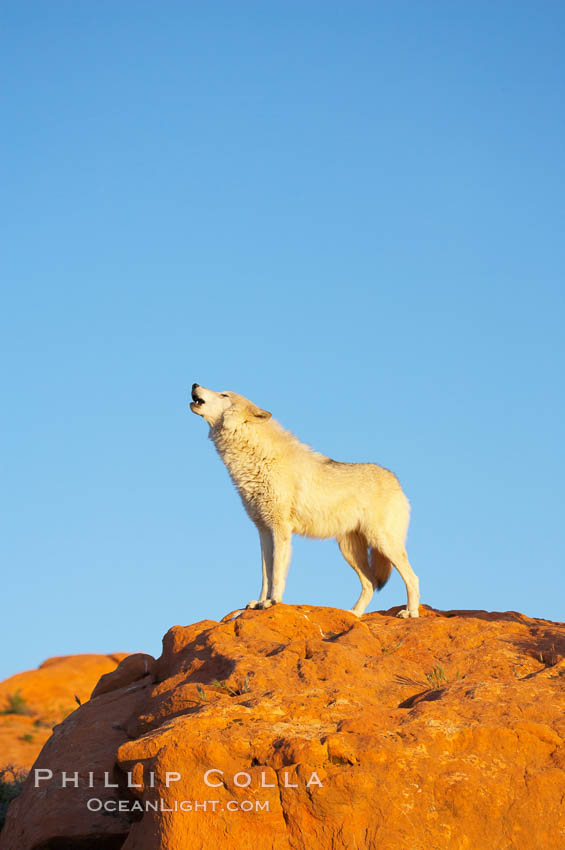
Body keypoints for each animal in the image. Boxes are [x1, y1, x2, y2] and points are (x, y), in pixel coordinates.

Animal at [189, 384, 418, 616]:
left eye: (224, 395)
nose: (195, 384)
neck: (258, 458)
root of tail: (396, 481)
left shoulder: (280, 529)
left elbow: (277, 572)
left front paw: (273, 601)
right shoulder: (263, 530)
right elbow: (265, 574)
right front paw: (259, 602)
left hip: (382, 542)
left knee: (412, 578)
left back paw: (410, 613)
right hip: (349, 550)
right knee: (370, 583)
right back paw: (353, 615)